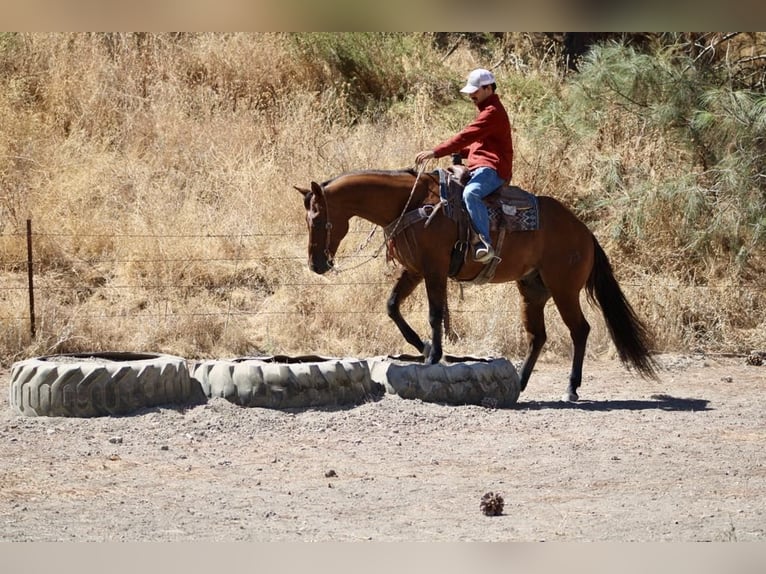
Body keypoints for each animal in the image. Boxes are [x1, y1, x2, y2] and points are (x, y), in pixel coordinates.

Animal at [296, 166, 660, 400]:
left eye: (319, 219)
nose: (316, 264)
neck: (411, 204)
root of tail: (584, 232)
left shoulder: (434, 269)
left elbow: (435, 313)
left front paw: (433, 355)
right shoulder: (414, 271)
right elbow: (392, 307)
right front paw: (422, 347)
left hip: (564, 289)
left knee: (579, 330)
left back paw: (571, 387)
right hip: (532, 290)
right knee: (538, 336)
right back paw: (520, 384)